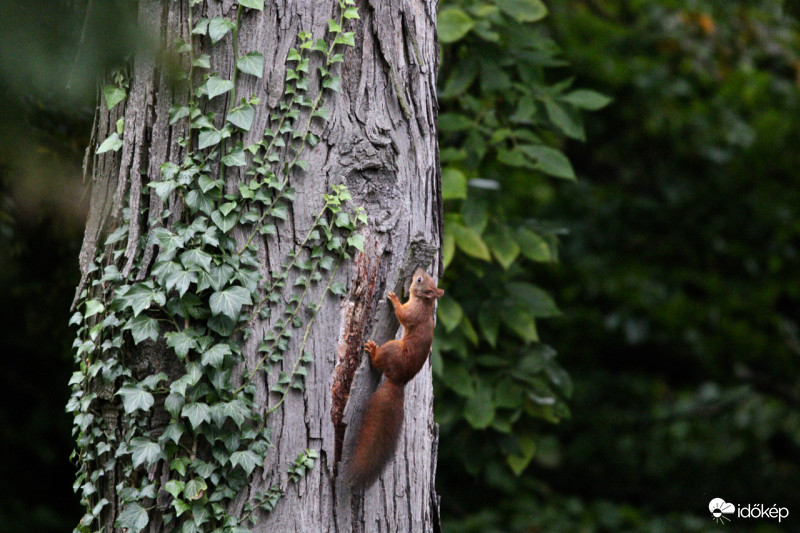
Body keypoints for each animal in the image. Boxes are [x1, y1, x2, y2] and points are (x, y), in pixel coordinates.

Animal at [346, 266, 444, 486]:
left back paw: (373, 351)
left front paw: (394, 298)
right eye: (424, 276)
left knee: (377, 360)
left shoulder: (413, 313)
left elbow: (403, 315)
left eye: (419, 279)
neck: (425, 304)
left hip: (392, 347)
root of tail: (399, 380)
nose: (418, 269)